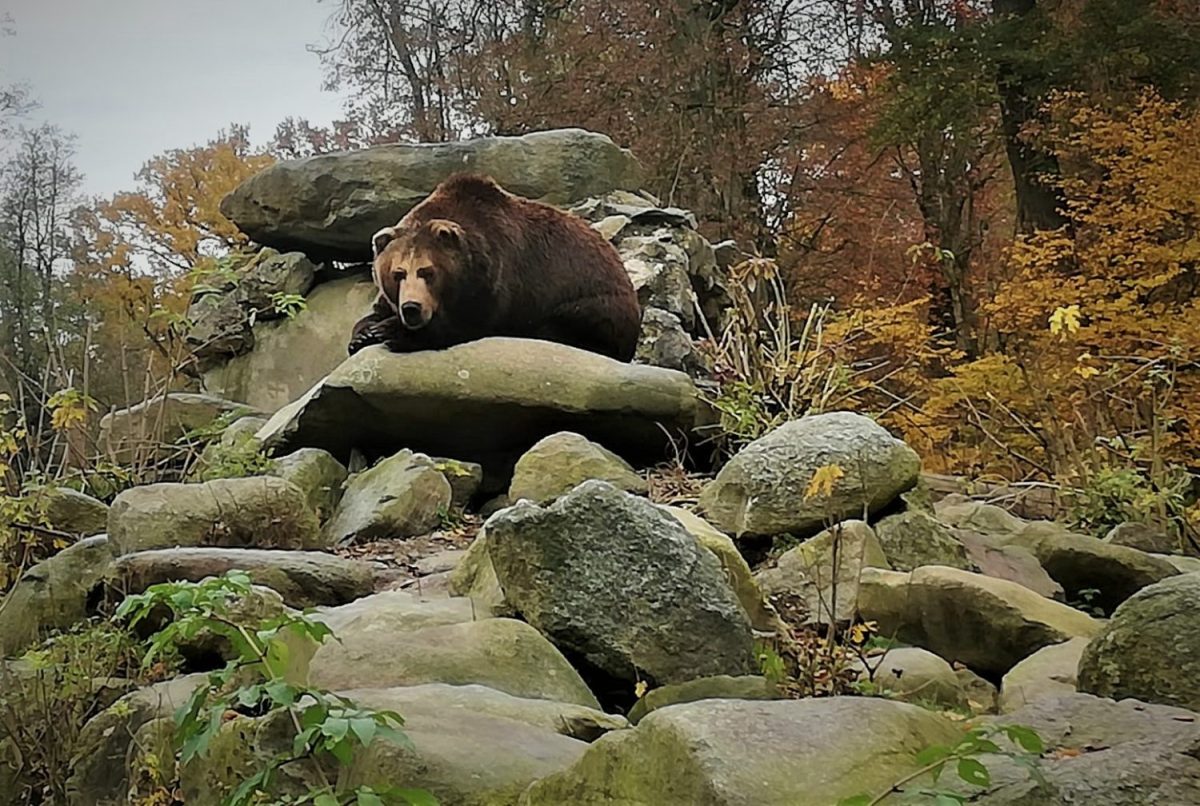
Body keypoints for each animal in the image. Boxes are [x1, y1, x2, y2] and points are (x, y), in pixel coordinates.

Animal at [348, 173, 643, 362]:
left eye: (427, 271)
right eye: (398, 273)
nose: (412, 308)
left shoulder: (496, 277)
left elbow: (467, 324)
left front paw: (389, 331)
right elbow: (374, 312)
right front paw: (363, 334)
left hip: (591, 303)